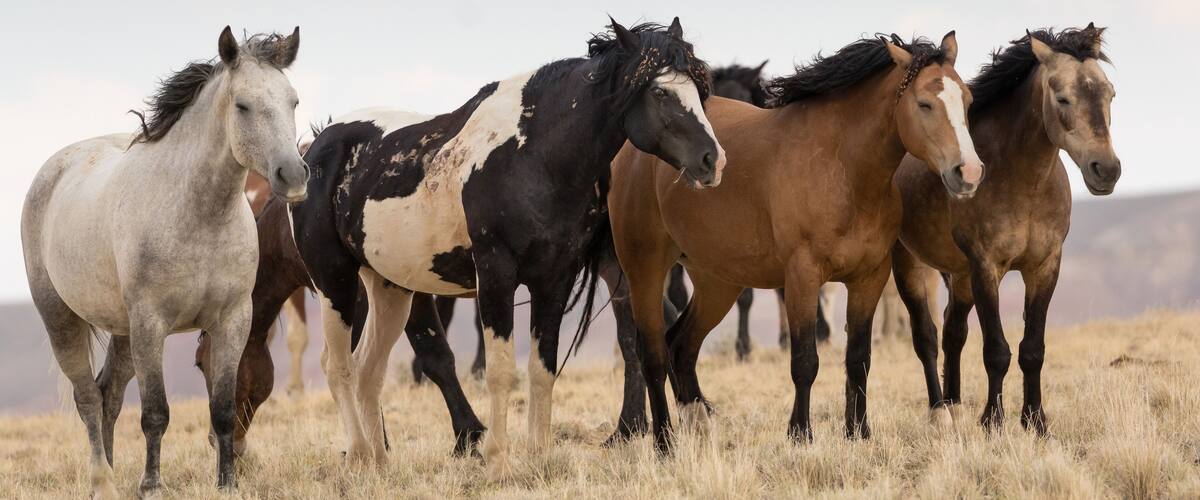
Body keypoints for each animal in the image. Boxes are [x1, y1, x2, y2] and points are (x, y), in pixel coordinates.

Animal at [21, 27, 306, 497]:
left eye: (292, 101)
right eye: (243, 106)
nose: (293, 176)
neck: (199, 216)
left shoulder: (233, 320)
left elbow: (222, 409)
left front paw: (227, 484)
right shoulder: (151, 324)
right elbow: (156, 413)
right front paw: (152, 485)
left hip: (123, 332)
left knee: (108, 395)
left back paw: (112, 474)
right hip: (63, 318)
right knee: (87, 398)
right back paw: (102, 481)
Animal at [289, 18, 721, 475]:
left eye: (699, 88)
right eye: (660, 92)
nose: (712, 159)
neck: (534, 158)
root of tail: (316, 147)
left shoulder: (555, 279)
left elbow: (542, 369)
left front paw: (540, 454)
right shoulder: (496, 275)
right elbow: (499, 371)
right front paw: (496, 458)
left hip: (390, 287)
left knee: (368, 370)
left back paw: (379, 463)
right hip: (334, 280)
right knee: (338, 366)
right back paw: (357, 455)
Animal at [609, 32, 983, 451]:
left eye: (967, 100)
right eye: (924, 103)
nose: (968, 172)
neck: (842, 168)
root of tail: (631, 151)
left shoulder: (869, 277)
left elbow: (859, 357)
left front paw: (859, 432)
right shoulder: (803, 277)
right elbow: (805, 360)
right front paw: (800, 433)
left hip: (717, 282)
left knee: (682, 346)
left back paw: (700, 424)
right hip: (644, 270)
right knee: (654, 354)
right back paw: (664, 442)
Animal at [891, 24, 1118, 433]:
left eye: (1110, 93)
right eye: (1062, 98)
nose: (1106, 170)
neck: (1024, 182)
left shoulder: (1044, 267)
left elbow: (1032, 349)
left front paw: (1035, 421)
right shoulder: (986, 267)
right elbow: (996, 350)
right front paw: (992, 421)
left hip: (959, 275)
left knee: (953, 331)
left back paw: (955, 405)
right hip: (910, 264)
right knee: (926, 336)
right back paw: (940, 411)